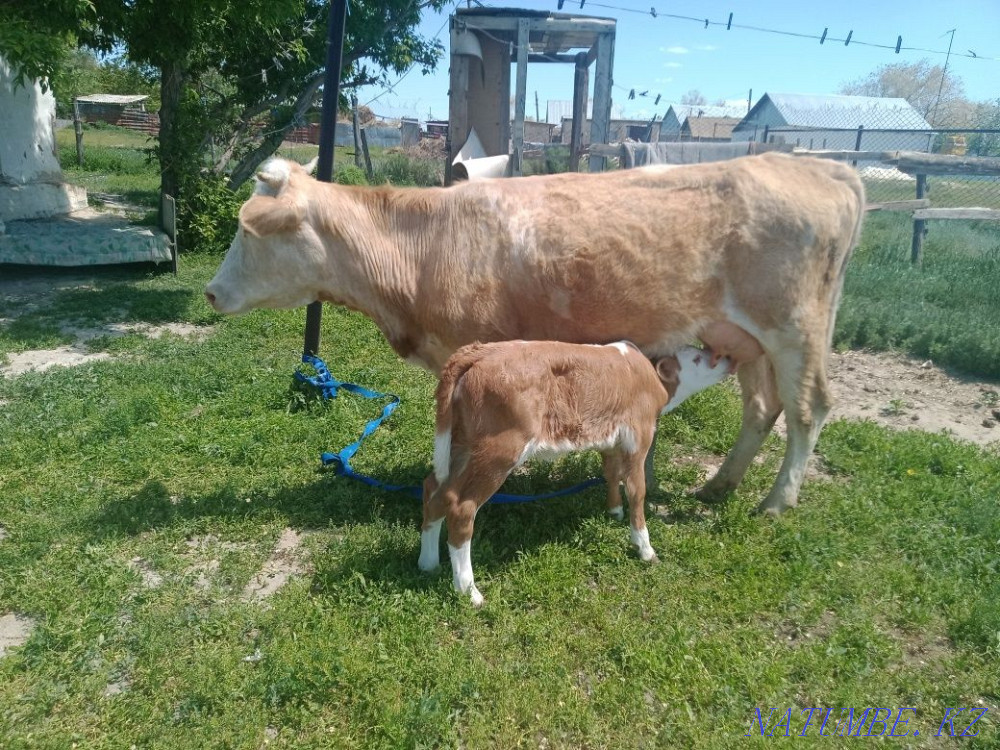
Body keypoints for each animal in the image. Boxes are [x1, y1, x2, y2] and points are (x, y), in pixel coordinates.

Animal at [205, 153, 865, 514]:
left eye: (247, 231)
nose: (210, 291)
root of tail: (818, 164)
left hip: (795, 329)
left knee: (807, 410)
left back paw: (775, 503)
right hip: (745, 337)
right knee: (762, 408)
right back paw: (718, 487)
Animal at [419, 341, 732, 606]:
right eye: (696, 358)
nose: (727, 358)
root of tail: (477, 351)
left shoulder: (611, 439)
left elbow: (611, 472)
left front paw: (614, 511)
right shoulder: (639, 437)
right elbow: (637, 491)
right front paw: (645, 549)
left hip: (461, 445)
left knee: (435, 490)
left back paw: (428, 563)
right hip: (500, 450)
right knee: (461, 507)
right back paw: (469, 591)